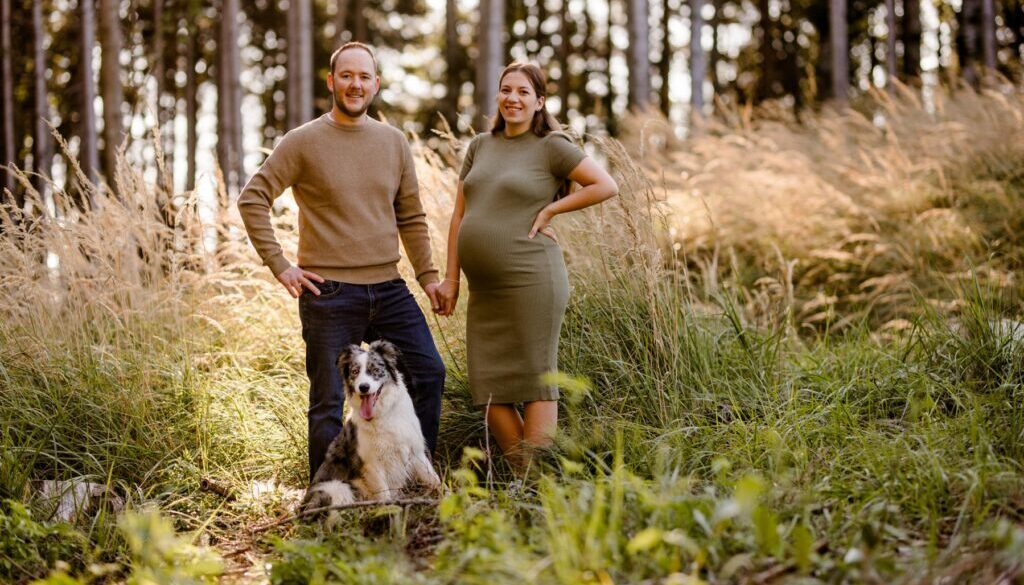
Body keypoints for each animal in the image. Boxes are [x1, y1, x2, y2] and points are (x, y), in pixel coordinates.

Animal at [299, 338, 438, 512]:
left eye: (375, 370)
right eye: (354, 371)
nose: (363, 387)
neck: (383, 414)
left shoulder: (416, 451)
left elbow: (435, 480)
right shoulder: (371, 463)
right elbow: (385, 495)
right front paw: (389, 512)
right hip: (336, 488)